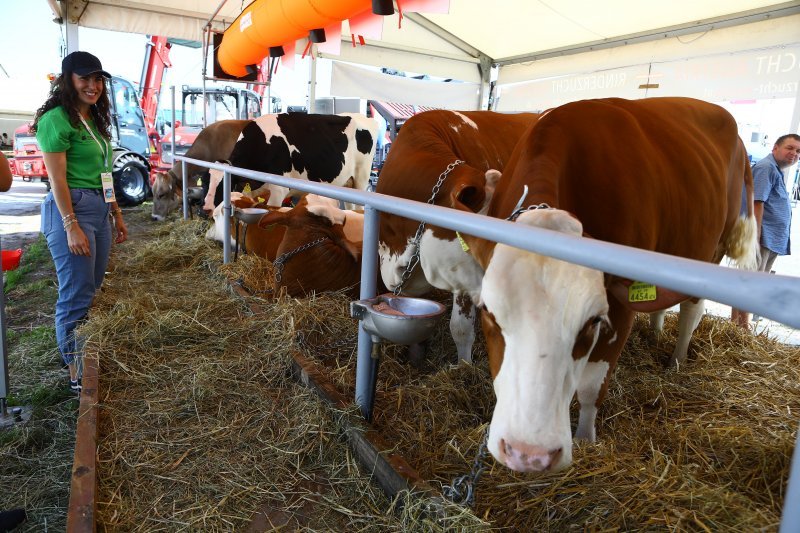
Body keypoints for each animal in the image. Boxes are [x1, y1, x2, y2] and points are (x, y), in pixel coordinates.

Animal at [206, 113, 382, 211]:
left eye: (224, 184)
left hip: (361, 178)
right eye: (207, 181)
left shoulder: (279, 190)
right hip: (347, 182)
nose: (206, 208)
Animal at [450, 97, 756, 472]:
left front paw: (586, 439)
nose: (529, 454)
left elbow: (592, 387)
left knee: (691, 311)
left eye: (593, 321)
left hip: (711, 253)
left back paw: (676, 361)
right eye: (488, 313)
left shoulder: (619, 307)